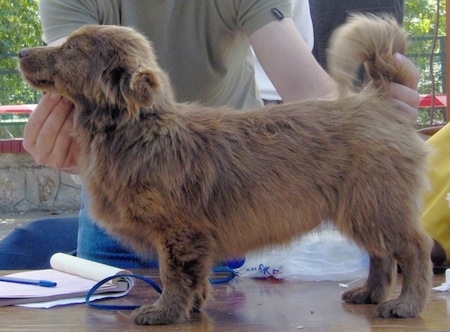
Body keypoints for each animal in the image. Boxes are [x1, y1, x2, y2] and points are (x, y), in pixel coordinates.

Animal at [18, 14, 432, 324]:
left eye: (72, 48)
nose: (21, 51)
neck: (137, 129)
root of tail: (379, 100)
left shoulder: (178, 233)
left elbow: (173, 275)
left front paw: (164, 311)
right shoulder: (194, 240)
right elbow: (196, 277)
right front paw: (194, 306)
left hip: (376, 206)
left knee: (413, 250)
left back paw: (406, 304)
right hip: (364, 211)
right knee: (381, 255)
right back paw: (370, 294)